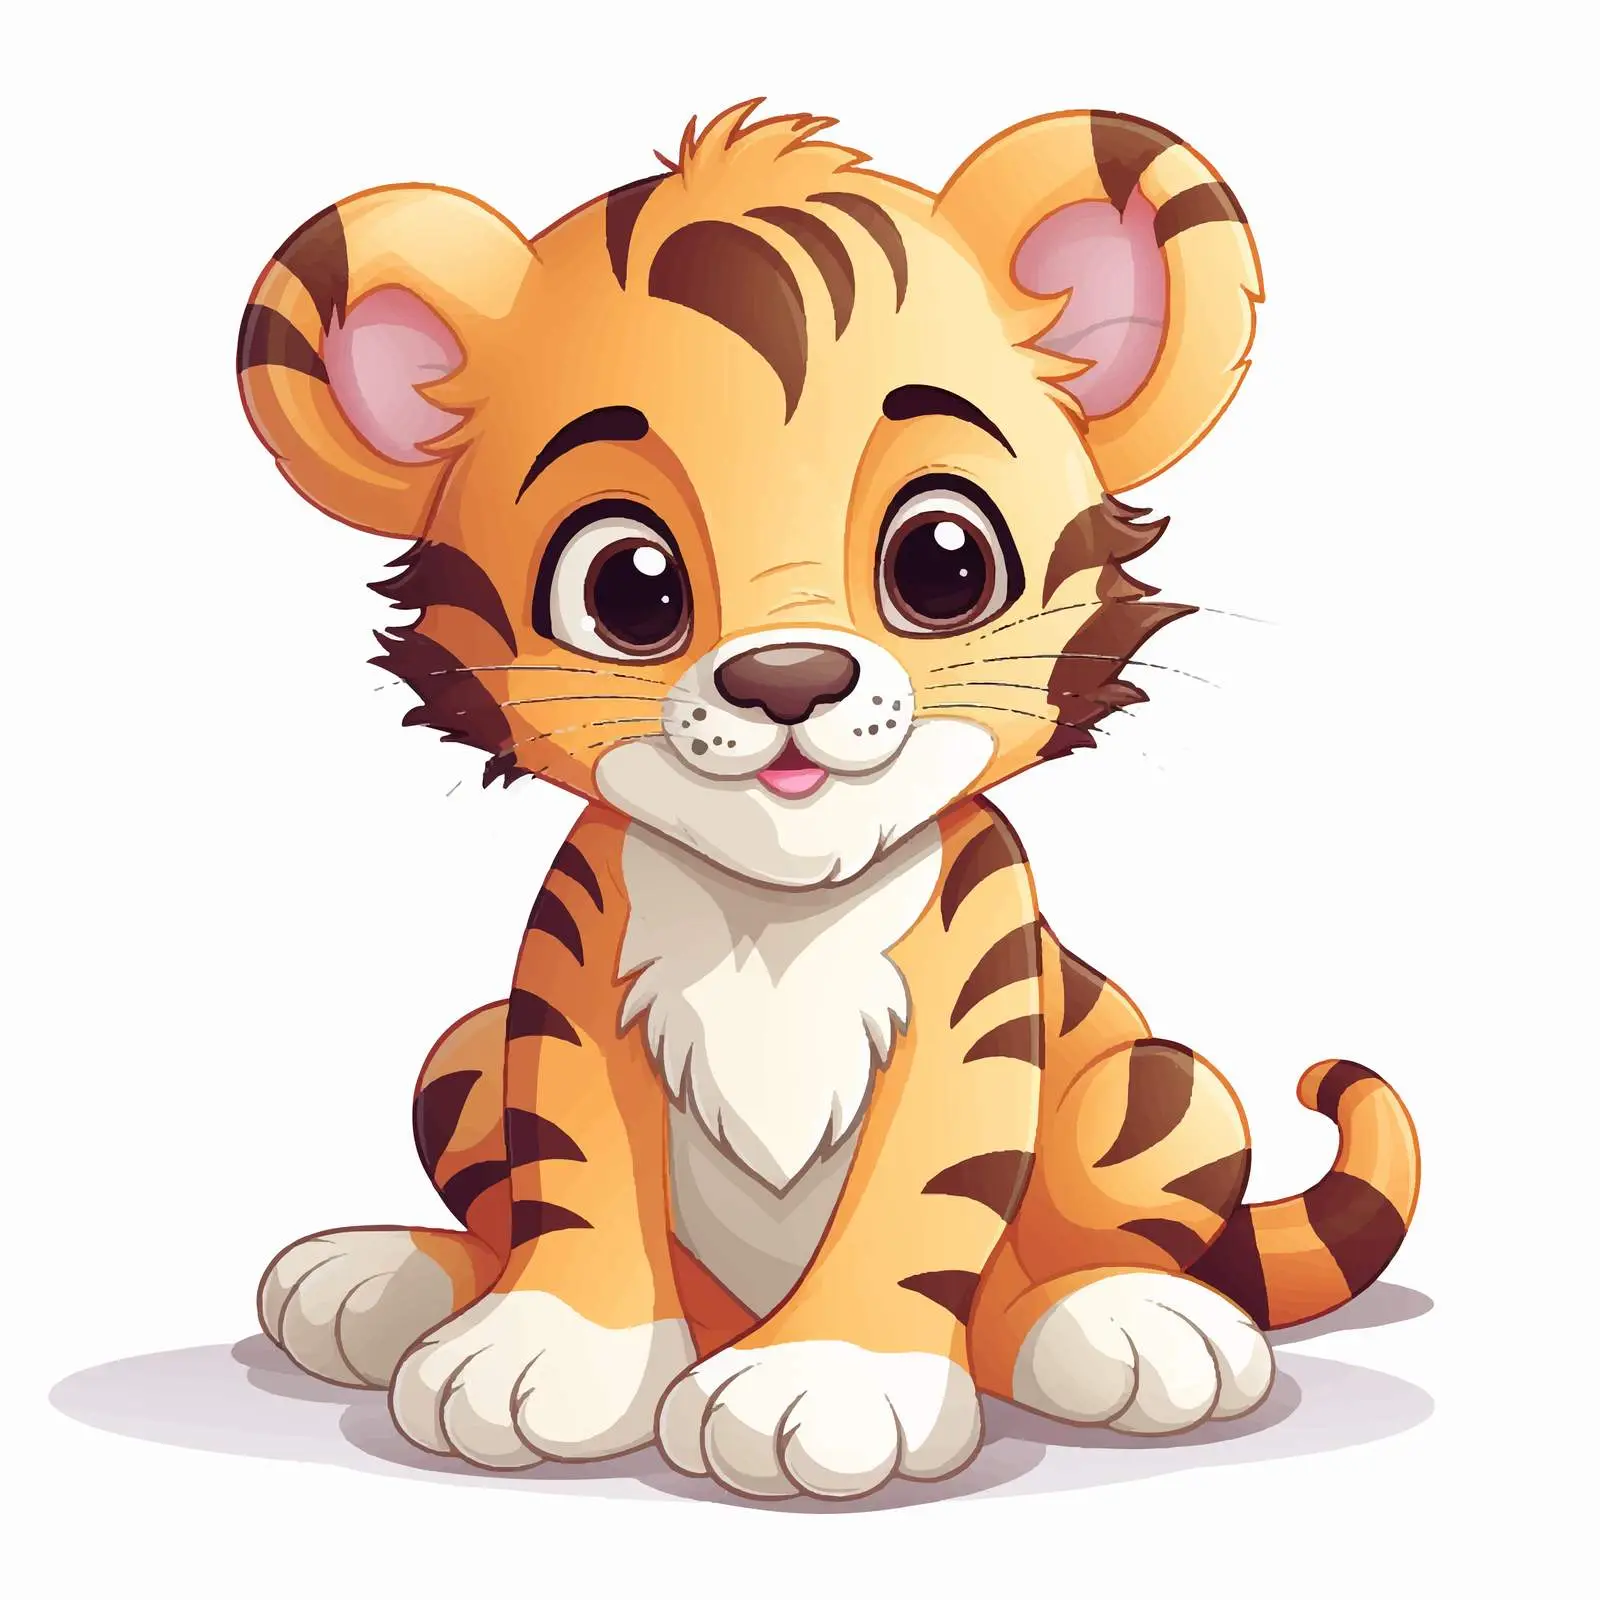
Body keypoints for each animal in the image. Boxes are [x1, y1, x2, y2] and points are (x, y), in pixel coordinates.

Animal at [241, 101, 1420, 1501]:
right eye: (628, 584)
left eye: (943, 560)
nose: (788, 677)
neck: (775, 906)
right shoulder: (559, 997)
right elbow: (574, 1177)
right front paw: (545, 1350)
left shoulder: (974, 1016)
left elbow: (925, 1198)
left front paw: (825, 1383)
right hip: (459, 1054)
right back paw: (390, 1278)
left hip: (1159, 1089)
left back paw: (1124, 1321)